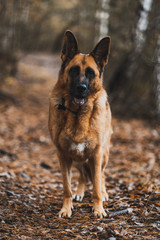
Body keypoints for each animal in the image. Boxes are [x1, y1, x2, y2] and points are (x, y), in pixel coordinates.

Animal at [48, 30, 112, 218]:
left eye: (90, 73)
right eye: (74, 70)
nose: (81, 88)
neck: (78, 114)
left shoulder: (96, 154)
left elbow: (96, 185)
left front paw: (98, 208)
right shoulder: (63, 154)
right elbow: (66, 187)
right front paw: (66, 207)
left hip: (103, 155)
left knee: (102, 175)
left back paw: (104, 193)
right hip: (77, 158)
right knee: (83, 174)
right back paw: (79, 191)